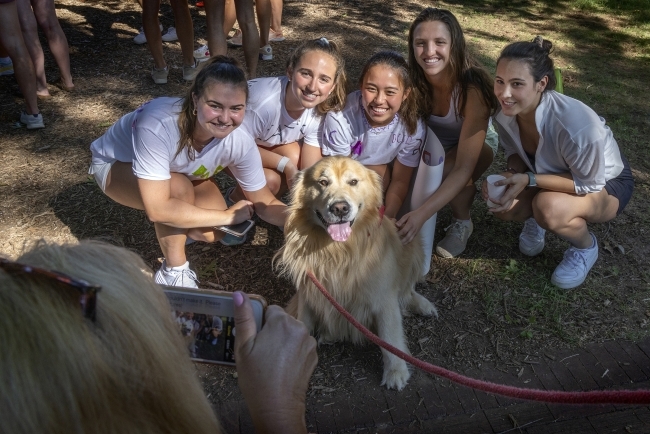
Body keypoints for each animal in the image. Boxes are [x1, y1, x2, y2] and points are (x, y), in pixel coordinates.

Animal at [274, 156, 436, 390]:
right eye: (323, 182)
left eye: (353, 182)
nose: (340, 208)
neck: (338, 251)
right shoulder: (310, 289)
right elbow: (303, 322)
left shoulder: (383, 297)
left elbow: (390, 335)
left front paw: (396, 371)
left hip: (413, 246)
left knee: (407, 292)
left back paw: (423, 305)